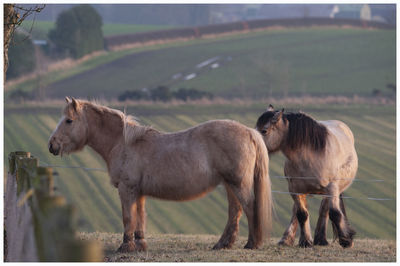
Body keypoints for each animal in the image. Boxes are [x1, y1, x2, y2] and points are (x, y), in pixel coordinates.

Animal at [46, 97, 272, 251]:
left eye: (68, 120)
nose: (51, 145)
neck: (124, 144)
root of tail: (250, 132)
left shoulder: (127, 189)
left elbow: (127, 217)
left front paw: (125, 247)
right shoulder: (139, 192)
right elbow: (140, 217)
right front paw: (140, 245)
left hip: (237, 183)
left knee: (249, 207)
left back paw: (251, 243)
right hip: (229, 184)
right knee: (235, 211)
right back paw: (223, 244)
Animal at [255, 105, 358, 248]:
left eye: (264, 131)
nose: (254, 145)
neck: (310, 157)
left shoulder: (332, 188)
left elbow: (335, 213)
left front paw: (346, 240)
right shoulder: (295, 190)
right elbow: (302, 214)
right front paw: (305, 242)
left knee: (325, 209)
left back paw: (321, 239)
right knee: (297, 211)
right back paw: (287, 239)